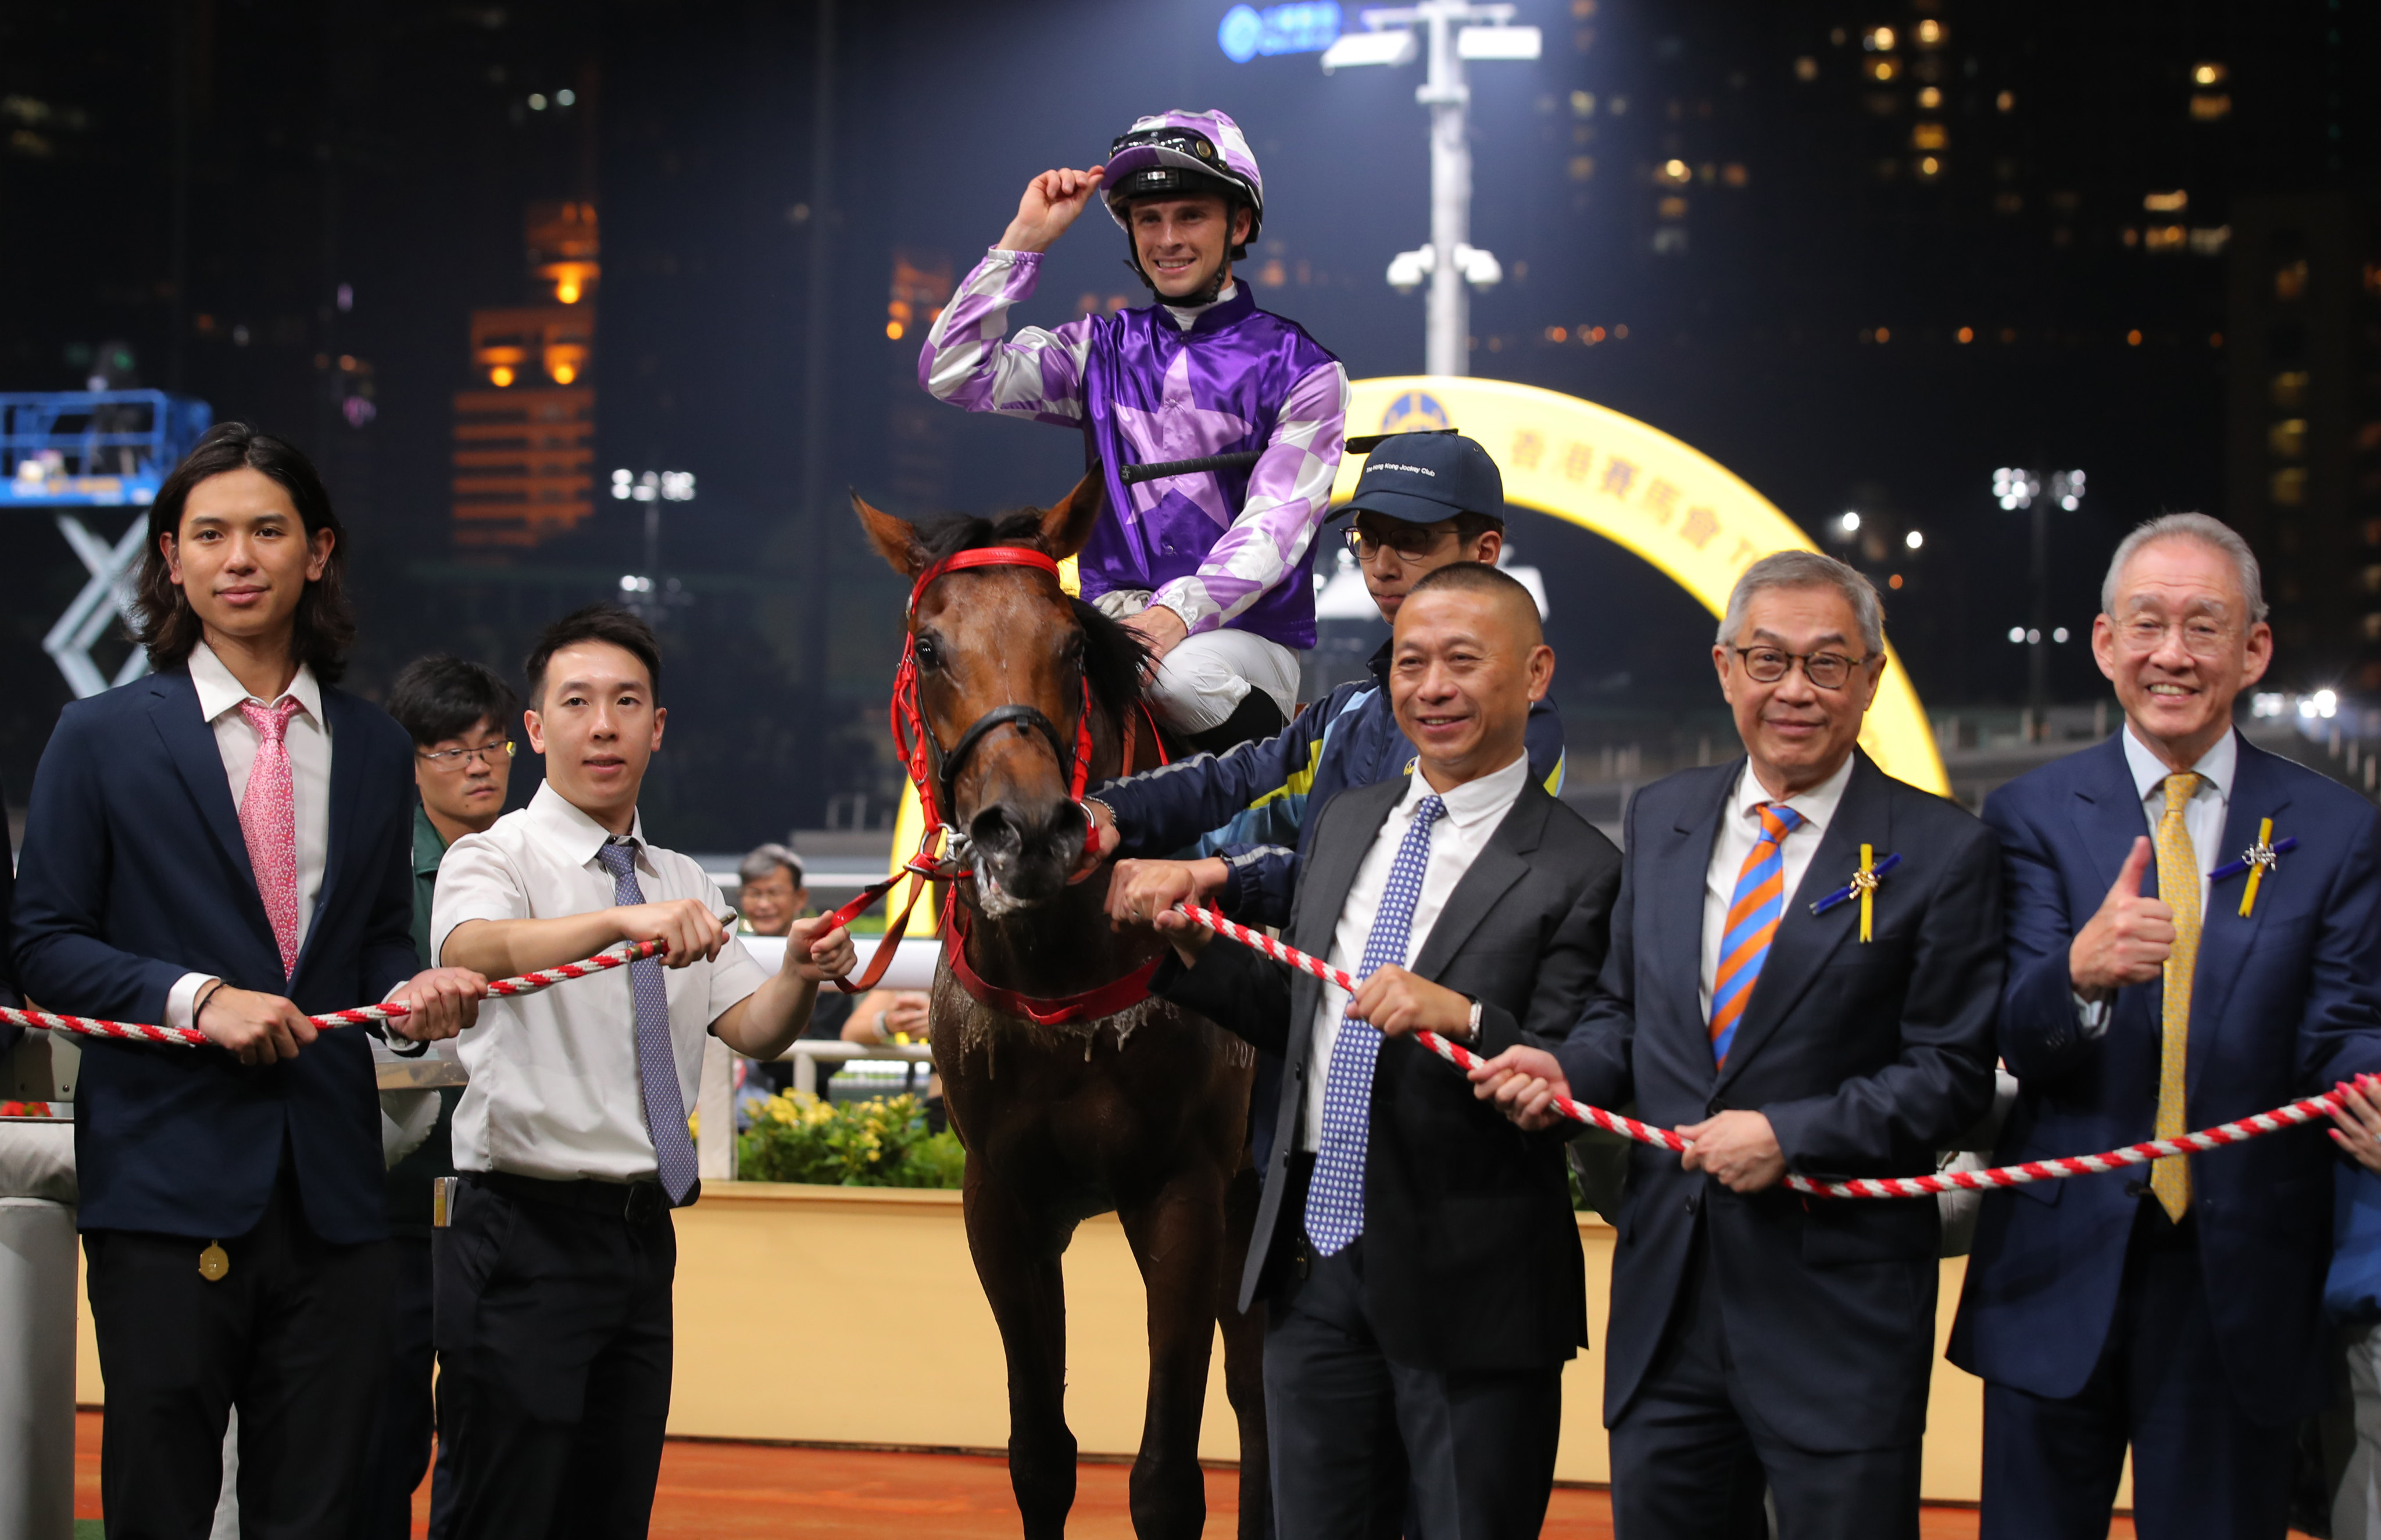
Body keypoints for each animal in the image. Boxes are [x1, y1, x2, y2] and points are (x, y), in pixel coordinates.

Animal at [852, 474, 1276, 1540]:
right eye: (930, 646)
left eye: (1072, 645)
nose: (1032, 831)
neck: (1062, 976)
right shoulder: (1003, 1197)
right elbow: (1040, 1455)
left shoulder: (1186, 1189)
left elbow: (1167, 1478)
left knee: (1260, 1394)